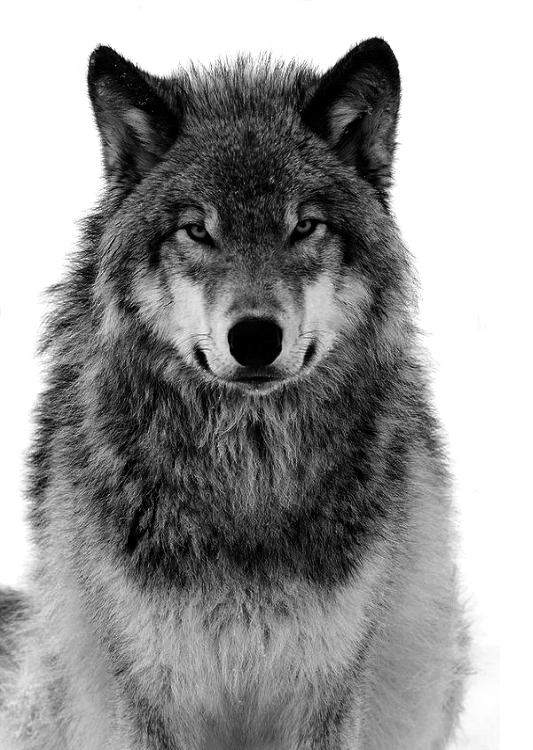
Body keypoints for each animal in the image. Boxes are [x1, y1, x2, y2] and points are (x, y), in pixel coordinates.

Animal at [0, 38, 470, 749]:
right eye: (198, 230)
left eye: (304, 226)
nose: (254, 337)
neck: (248, 478)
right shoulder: (151, 691)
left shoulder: (326, 688)